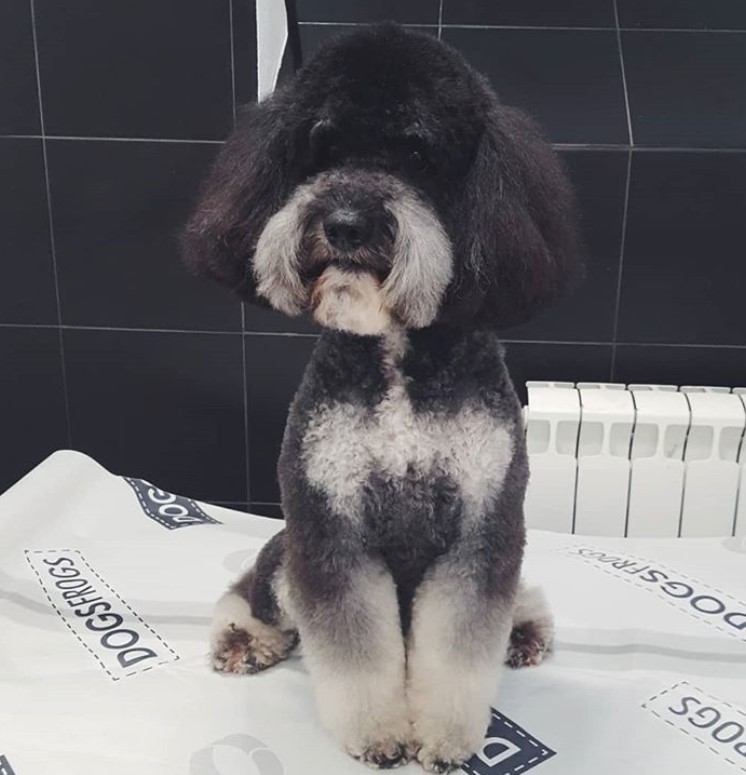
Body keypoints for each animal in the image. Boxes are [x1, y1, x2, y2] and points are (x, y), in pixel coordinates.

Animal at [183, 24, 580, 775]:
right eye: (324, 146)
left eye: (418, 152)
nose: (344, 223)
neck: (397, 358)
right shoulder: (330, 526)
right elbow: (356, 651)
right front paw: (378, 733)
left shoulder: (482, 527)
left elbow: (458, 648)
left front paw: (445, 739)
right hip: (287, 548)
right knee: (258, 588)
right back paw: (245, 637)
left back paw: (525, 626)